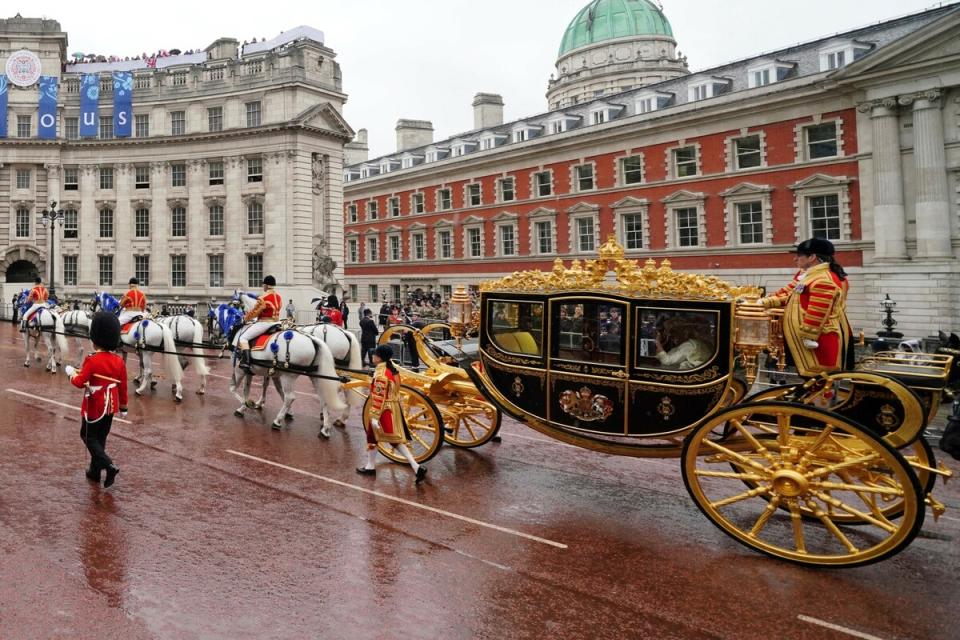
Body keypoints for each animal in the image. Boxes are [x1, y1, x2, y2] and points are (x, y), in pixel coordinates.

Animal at [218, 300, 348, 436]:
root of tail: (312, 339)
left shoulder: (239, 369)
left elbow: (233, 389)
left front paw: (246, 404)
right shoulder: (257, 371)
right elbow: (253, 389)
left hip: (289, 376)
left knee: (290, 397)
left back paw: (277, 421)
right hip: (313, 375)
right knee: (323, 396)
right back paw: (325, 428)